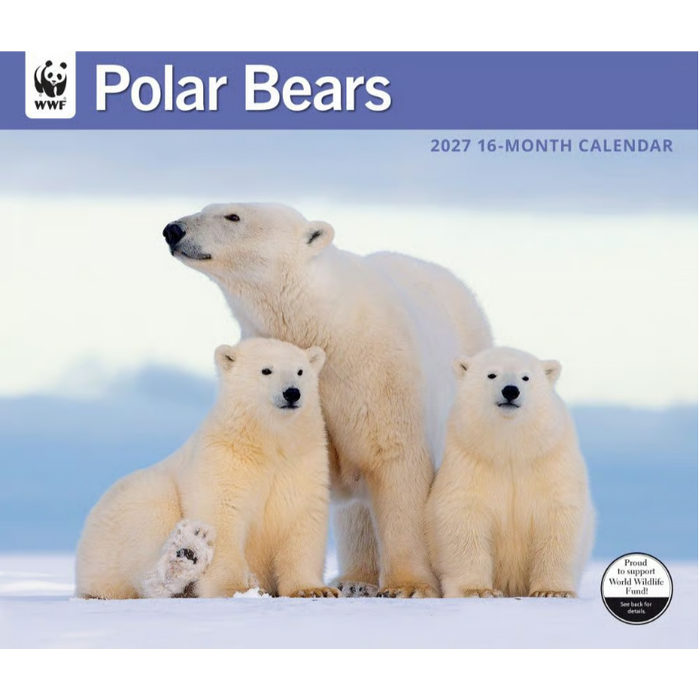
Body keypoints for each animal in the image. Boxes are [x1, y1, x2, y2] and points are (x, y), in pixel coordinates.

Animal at [75, 337, 337, 599]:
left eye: (300, 371)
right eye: (266, 370)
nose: (292, 392)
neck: (267, 443)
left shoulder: (302, 463)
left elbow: (302, 521)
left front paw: (315, 590)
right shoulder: (225, 459)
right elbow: (222, 515)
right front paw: (237, 587)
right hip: (130, 510)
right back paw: (182, 559)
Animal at [162, 203, 493, 598]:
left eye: (233, 216)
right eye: (207, 207)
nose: (173, 229)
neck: (324, 325)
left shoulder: (381, 379)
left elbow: (396, 465)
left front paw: (409, 585)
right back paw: (354, 581)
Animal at [426, 346, 595, 598]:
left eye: (526, 377)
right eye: (491, 374)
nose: (510, 391)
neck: (511, 452)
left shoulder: (550, 462)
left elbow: (558, 517)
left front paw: (553, 591)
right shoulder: (470, 461)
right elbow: (463, 516)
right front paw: (478, 590)